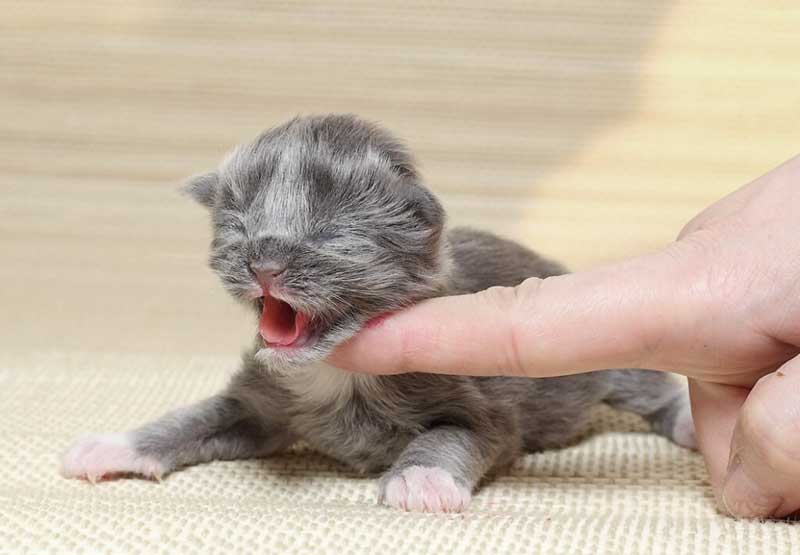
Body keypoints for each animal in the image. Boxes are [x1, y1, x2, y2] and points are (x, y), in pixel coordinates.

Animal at [61, 115, 692, 516]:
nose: (262, 262)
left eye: (329, 234)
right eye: (239, 227)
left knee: (650, 386)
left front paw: (420, 479)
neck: (335, 368)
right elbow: (191, 418)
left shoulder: (482, 405)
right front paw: (117, 446)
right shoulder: (260, 403)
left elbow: (454, 435)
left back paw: (684, 418)